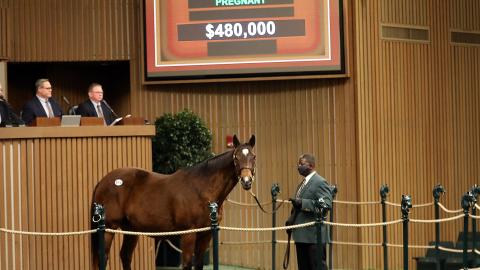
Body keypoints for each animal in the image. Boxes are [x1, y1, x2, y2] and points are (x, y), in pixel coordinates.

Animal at [90, 135, 255, 270]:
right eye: (236, 158)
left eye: (253, 157)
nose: (246, 181)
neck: (201, 188)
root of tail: (103, 181)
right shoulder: (188, 235)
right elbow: (187, 265)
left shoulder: (206, 235)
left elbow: (199, 264)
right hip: (108, 229)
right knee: (103, 258)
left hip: (131, 230)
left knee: (125, 256)